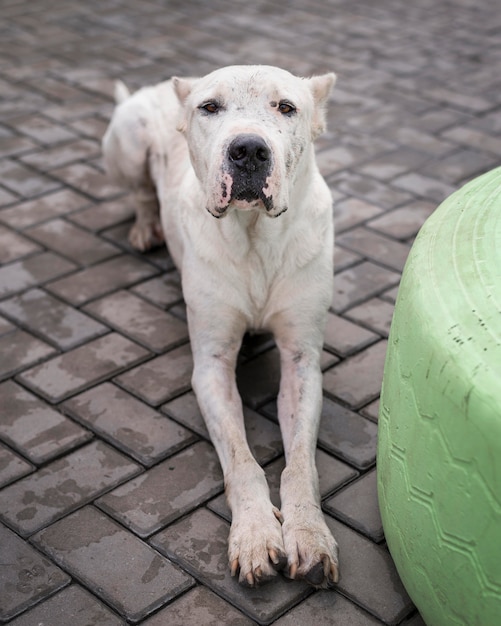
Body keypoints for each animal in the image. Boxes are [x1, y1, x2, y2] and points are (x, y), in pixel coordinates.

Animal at [101, 66, 336, 588]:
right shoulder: (210, 367)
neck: (255, 237)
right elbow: (242, 460)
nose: (248, 150)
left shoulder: (302, 362)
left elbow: (300, 465)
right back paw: (146, 226)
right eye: (209, 107)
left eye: (286, 107)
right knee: (140, 192)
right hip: (126, 142)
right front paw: (254, 534)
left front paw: (308, 533)